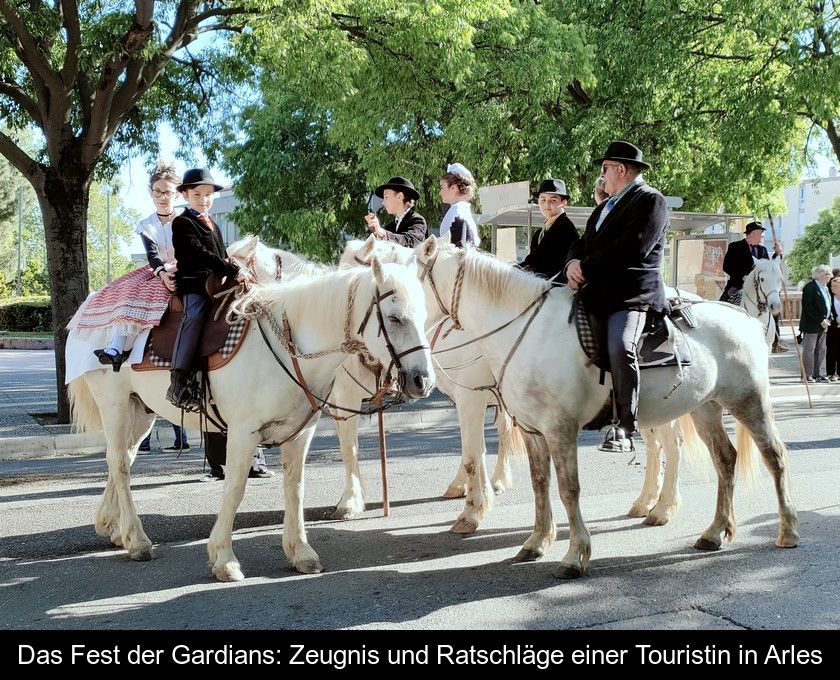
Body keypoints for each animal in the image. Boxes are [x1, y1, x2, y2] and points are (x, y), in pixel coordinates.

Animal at [69, 258, 436, 580]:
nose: (423, 381)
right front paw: (224, 558)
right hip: (114, 403)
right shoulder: (243, 432)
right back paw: (137, 539)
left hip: (141, 410)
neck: (287, 345)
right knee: (119, 463)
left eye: (424, 315)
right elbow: (235, 488)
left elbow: (295, 488)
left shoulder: (301, 433)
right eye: (395, 318)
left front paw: (300, 551)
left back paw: (114, 528)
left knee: (121, 459)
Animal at [416, 236, 796, 576]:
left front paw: (574, 555)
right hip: (705, 407)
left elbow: (567, 488)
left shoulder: (557, 428)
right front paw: (536, 542)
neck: (525, 332)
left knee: (773, 456)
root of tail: (746, 318)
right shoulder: (531, 430)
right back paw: (712, 531)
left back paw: (786, 529)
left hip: (748, 401)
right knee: (724, 459)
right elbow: (539, 483)